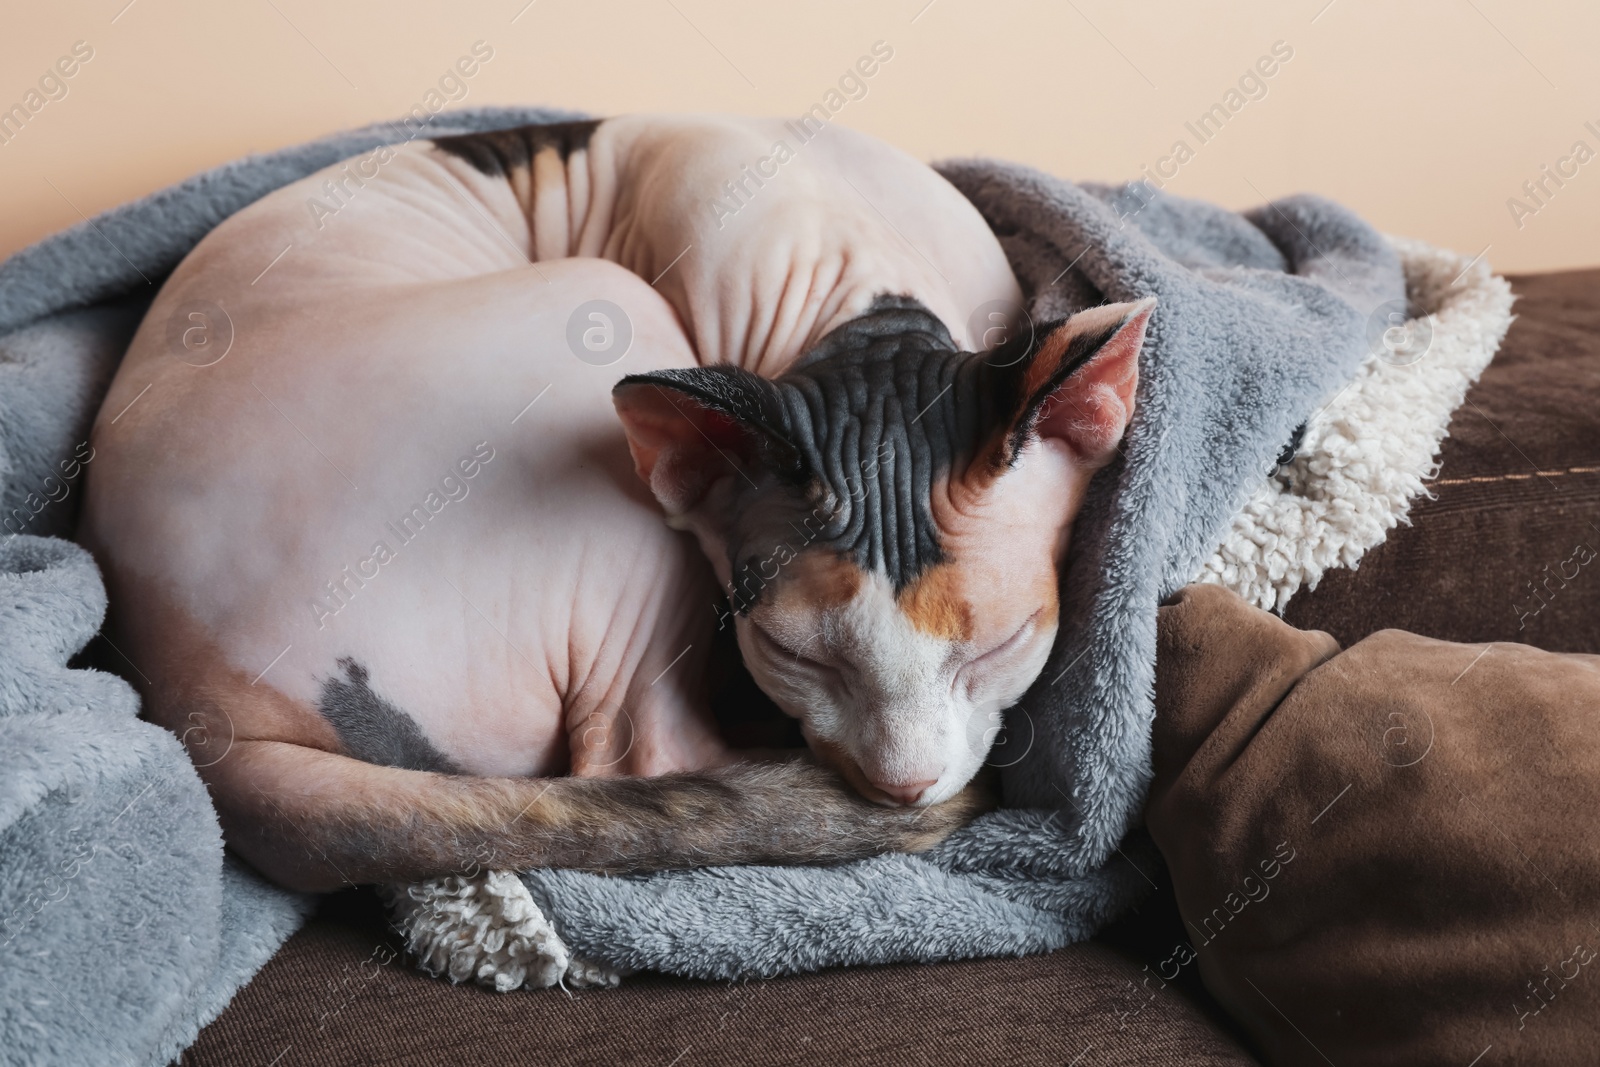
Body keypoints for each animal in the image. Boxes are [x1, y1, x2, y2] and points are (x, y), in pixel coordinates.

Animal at [78, 116, 1152, 934]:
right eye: (792, 653)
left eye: (1002, 645)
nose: (900, 789)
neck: (855, 272)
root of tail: (202, 719)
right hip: (608, 310)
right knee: (643, 759)